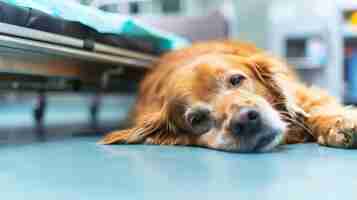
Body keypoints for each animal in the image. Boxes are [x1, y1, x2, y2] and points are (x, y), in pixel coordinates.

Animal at [98, 41, 356, 153]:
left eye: (236, 80)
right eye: (196, 119)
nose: (245, 121)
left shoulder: (305, 96)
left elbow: (316, 111)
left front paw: (339, 125)